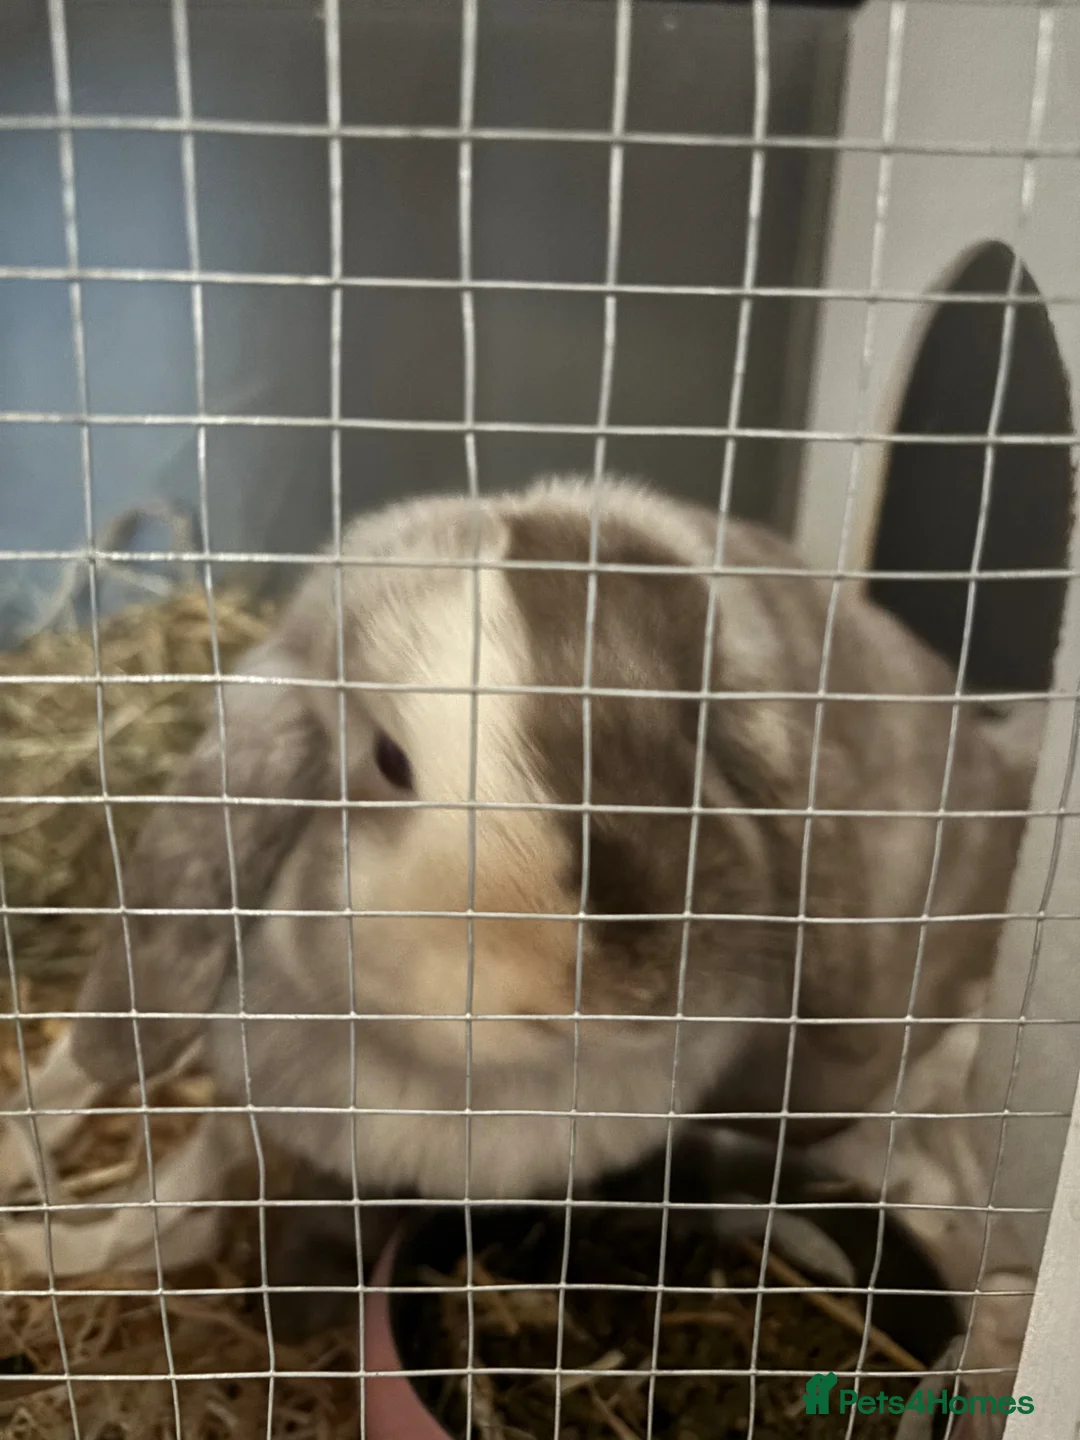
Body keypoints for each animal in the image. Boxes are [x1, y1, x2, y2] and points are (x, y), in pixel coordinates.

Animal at [58, 474, 1039, 1428]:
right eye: (388, 760)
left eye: (691, 734)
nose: (624, 984)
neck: (471, 1088)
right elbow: (338, 1201)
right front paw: (289, 1308)